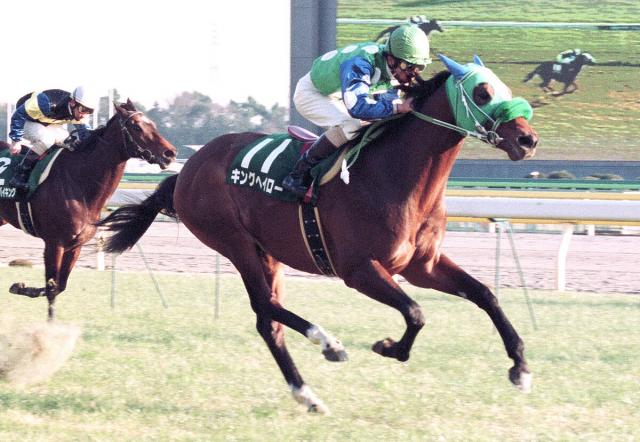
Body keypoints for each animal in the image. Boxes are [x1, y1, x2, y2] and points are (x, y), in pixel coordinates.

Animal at [0, 100, 177, 321]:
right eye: (136, 127)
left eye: (152, 124)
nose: (170, 153)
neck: (78, 182)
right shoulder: (54, 243)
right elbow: (51, 288)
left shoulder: (75, 246)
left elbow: (60, 286)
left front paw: (20, 287)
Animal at [97, 54, 538, 413]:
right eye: (482, 92)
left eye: (504, 88)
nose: (528, 139)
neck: (394, 175)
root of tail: (188, 167)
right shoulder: (358, 269)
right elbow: (415, 312)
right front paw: (389, 347)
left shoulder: (421, 265)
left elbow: (485, 294)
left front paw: (520, 368)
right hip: (233, 242)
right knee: (264, 305)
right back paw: (329, 343)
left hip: (267, 251)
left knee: (268, 321)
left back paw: (307, 394)